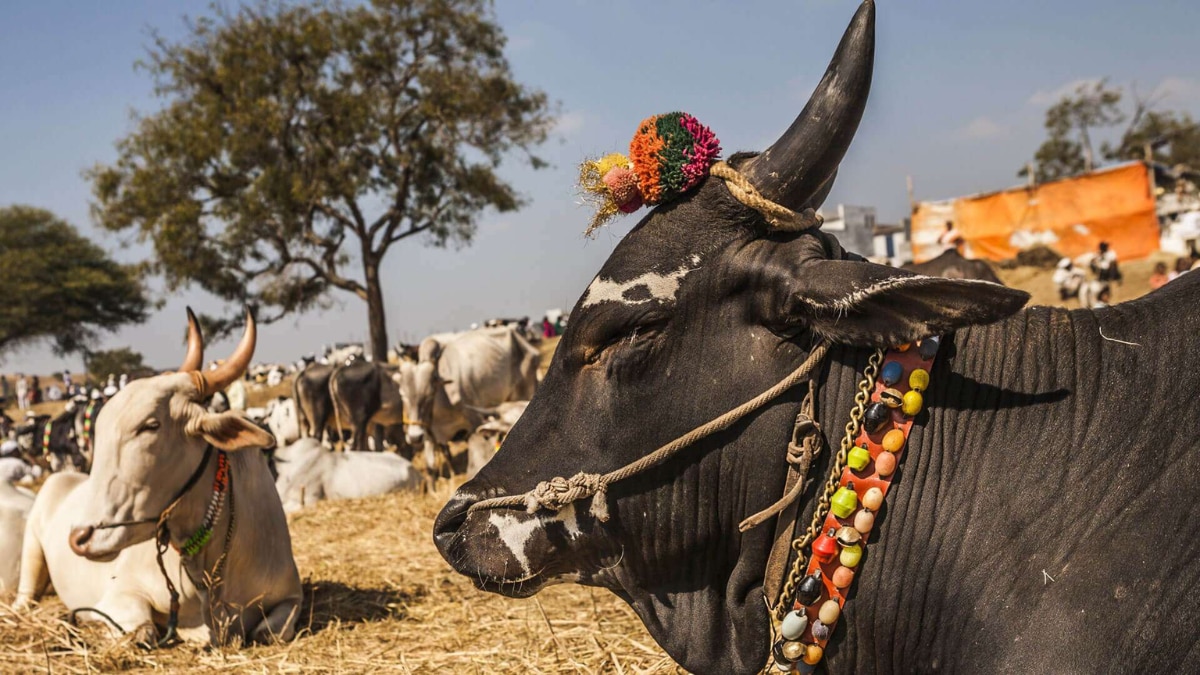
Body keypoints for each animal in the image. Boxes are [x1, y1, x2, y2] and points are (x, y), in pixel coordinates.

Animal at [16, 309, 302, 646]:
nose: (79, 538)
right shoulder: (117, 598)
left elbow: (270, 631)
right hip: (31, 548)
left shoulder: (292, 595)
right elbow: (144, 630)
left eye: (150, 426)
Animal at [397, 326, 539, 472]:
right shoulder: (431, 435)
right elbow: (436, 464)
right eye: (402, 394)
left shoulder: (475, 421)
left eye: (430, 393)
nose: (414, 437)